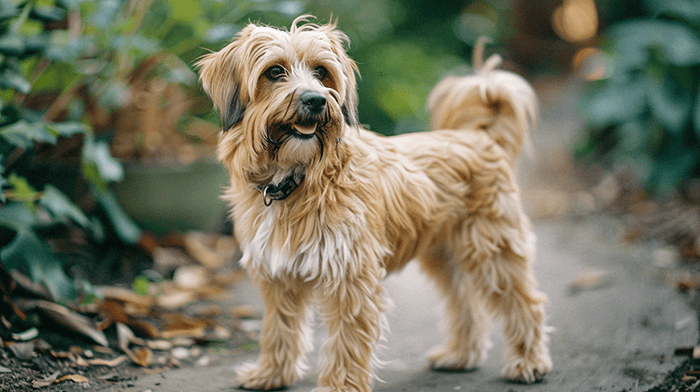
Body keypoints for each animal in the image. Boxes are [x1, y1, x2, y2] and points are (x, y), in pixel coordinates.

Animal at [197, 16, 552, 392]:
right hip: (445, 256)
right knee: (466, 303)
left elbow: (346, 342)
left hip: (494, 251)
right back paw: (461, 355)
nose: (316, 100)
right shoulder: (278, 278)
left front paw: (338, 387)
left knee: (525, 304)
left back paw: (529, 363)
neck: (299, 181)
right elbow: (278, 328)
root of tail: (480, 137)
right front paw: (270, 374)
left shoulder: (349, 277)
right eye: (274, 71)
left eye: (321, 72)